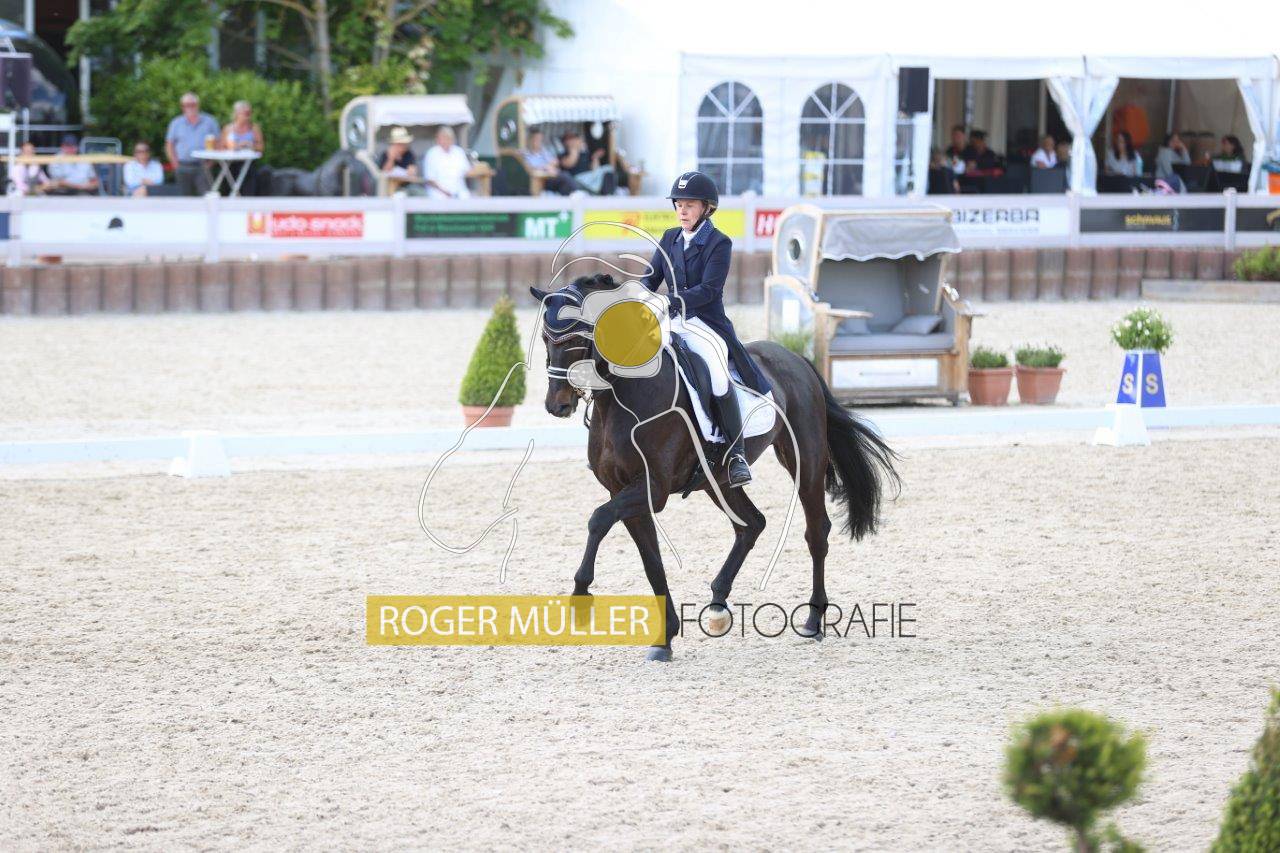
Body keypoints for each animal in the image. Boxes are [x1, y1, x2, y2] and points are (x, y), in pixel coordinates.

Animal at [531, 273, 900, 661]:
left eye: (577, 338)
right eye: (545, 338)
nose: (557, 405)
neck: (624, 396)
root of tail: (796, 359)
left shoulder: (652, 489)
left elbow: (598, 519)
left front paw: (580, 597)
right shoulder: (625, 491)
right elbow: (651, 562)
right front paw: (665, 639)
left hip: (806, 461)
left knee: (816, 532)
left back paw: (813, 620)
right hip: (717, 480)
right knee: (752, 524)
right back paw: (719, 604)